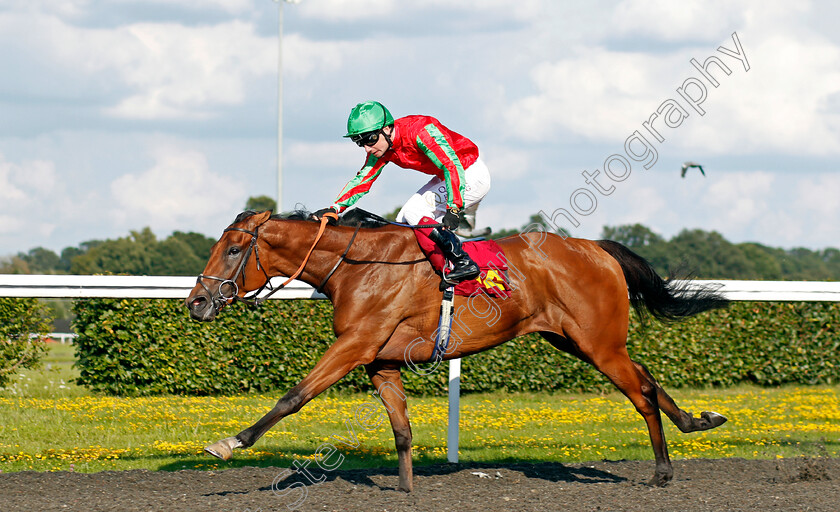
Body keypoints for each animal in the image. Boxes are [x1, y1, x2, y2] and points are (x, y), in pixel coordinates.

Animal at [185, 207, 728, 488]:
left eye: (234, 249)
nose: (197, 302)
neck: (357, 265)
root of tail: (596, 247)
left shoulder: (356, 345)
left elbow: (293, 396)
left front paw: (229, 442)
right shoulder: (380, 361)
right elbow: (401, 428)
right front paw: (406, 489)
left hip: (598, 343)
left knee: (641, 392)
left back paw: (662, 471)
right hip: (574, 340)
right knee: (648, 378)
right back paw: (698, 420)